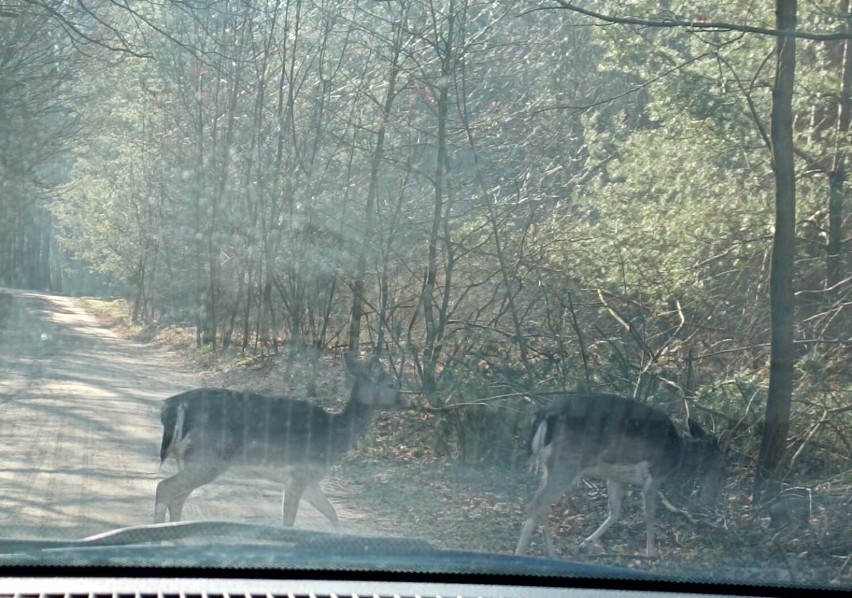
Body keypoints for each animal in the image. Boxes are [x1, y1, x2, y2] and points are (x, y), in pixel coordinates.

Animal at [154, 354, 406, 528]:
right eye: (391, 384)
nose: (406, 402)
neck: (336, 436)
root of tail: (171, 407)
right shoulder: (299, 474)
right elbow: (289, 520)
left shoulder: (310, 480)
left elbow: (332, 513)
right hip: (207, 458)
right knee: (164, 488)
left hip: (190, 459)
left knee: (177, 498)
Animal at [512, 396, 724, 560]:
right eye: (720, 462)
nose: (713, 495)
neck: (676, 455)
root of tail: (544, 416)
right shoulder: (654, 475)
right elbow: (649, 514)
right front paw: (652, 553)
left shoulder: (615, 477)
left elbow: (615, 512)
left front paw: (585, 546)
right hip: (567, 464)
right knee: (536, 504)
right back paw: (520, 553)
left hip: (549, 467)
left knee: (542, 504)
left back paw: (551, 553)